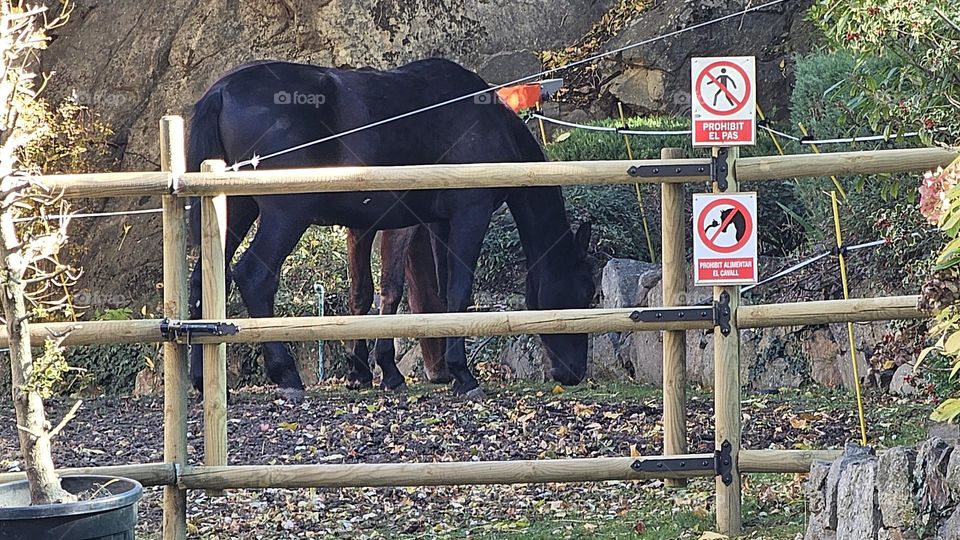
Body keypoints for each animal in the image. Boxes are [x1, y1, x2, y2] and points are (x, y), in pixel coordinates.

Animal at [187, 58, 592, 400]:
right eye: (585, 292)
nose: (573, 373)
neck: (484, 120)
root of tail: (221, 91)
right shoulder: (467, 215)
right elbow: (455, 290)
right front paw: (461, 374)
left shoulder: (418, 223)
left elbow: (388, 292)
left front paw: (376, 371)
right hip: (285, 215)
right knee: (255, 276)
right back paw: (286, 375)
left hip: (236, 211)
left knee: (202, 279)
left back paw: (203, 379)